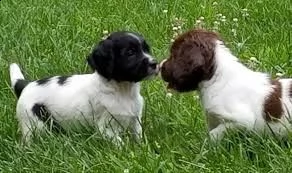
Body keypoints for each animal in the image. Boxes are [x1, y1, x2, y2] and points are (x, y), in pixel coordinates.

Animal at [9, 30, 159, 145]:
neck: (123, 90)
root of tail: (26, 85)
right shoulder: (105, 127)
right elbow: (119, 143)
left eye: (146, 49)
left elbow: (138, 136)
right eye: (130, 53)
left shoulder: (135, 119)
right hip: (32, 123)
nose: (155, 64)